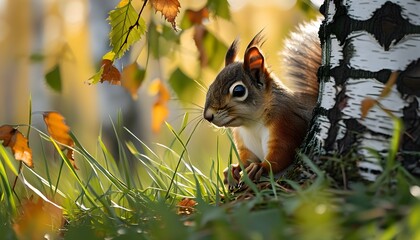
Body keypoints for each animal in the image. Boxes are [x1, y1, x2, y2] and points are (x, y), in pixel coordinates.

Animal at [203, 20, 322, 186]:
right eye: (210, 86)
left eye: (238, 91)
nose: (208, 116)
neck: (251, 124)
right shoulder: (245, 142)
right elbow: (247, 159)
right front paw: (233, 168)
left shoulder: (287, 125)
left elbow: (282, 155)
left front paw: (260, 167)